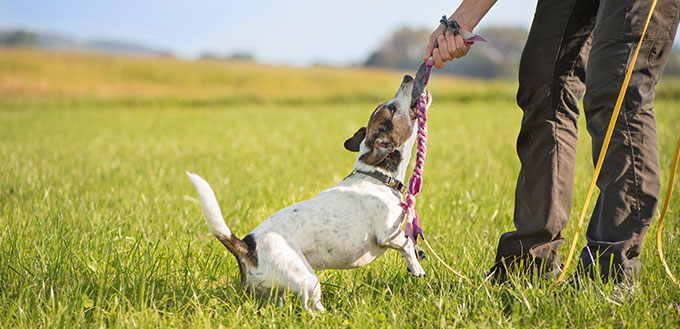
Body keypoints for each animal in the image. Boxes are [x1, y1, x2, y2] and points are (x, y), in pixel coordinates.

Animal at [189, 73, 428, 312]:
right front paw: (416, 267)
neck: (377, 176)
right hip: (307, 280)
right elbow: (407, 244)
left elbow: (411, 241)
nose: (408, 76)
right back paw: (331, 315)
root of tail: (248, 247)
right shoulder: (388, 234)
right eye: (393, 108)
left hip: (276, 292)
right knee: (311, 309)